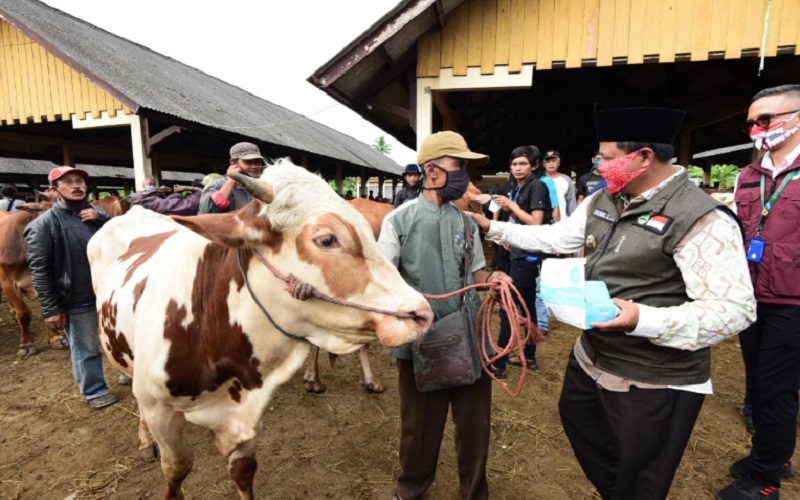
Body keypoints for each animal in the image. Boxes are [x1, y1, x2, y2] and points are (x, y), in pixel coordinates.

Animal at [87, 158, 432, 498]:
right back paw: (145, 441)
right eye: (327, 239)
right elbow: (176, 469)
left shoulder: (249, 409)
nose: (423, 313)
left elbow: (243, 470)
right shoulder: (159, 409)